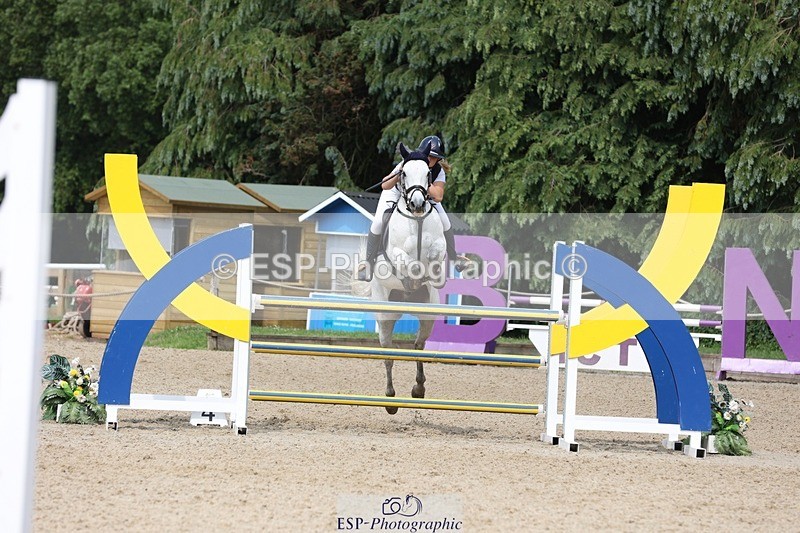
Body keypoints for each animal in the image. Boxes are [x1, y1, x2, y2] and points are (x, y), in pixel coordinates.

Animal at [355, 141, 447, 414]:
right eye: (403, 173)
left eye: (428, 174)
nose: (417, 204)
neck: (416, 220)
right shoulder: (396, 252)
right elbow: (406, 261)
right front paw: (411, 275)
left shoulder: (439, 244)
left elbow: (437, 253)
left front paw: (434, 273)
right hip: (385, 315)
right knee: (388, 353)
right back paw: (390, 400)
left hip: (428, 315)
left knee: (418, 347)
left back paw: (418, 389)